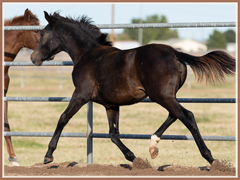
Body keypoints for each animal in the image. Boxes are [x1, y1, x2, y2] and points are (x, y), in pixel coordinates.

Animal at [31, 11, 235, 165]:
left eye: (42, 34)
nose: (34, 58)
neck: (88, 55)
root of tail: (174, 52)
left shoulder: (81, 94)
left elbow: (63, 118)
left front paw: (48, 156)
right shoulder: (111, 104)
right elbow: (113, 133)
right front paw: (133, 158)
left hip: (161, 96)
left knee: (187, 116)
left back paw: (210, 158)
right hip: (167, 96)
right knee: (174, 115)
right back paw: (153, 146)